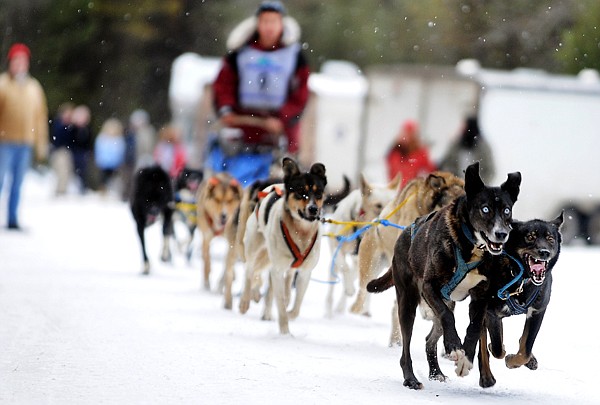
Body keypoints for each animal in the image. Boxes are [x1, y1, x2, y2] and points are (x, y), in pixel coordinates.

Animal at [238, 156, 326, 332]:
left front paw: (290, 312)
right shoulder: (277, 270)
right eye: (300, 192)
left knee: (285, 280)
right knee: (250, 271)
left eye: (318, 193)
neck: (301, 232)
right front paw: (285, 332)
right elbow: (281, 308)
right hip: (254, 249)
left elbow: (296, 306)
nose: (313, 209)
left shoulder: (305, 272)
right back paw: (245, 301)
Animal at [366, 161, 520, 388]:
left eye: (507, 210)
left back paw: (435, 372)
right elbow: (448, 317)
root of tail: (405, 233)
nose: (502, 234)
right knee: (407, 347)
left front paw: (466, 357)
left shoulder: (480, 296)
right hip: (408, 302)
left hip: (442, 304)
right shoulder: (430, 287)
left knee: (431, 338)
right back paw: (411, 378)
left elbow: (474, 328)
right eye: (485, 209)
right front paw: (454, 346)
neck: (471, 247)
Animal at [478, 213, 564, 386]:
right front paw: (504, 353)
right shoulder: (491, 312)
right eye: (530, 237)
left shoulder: (537, 311)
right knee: (483, 342)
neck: (520, 278)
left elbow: (526, 348)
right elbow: (497, 348)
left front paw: (516, 360)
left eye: (550, 238)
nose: (544, 252)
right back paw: (486, 377)